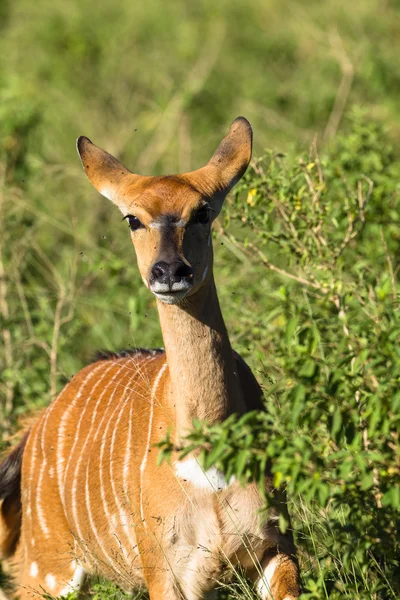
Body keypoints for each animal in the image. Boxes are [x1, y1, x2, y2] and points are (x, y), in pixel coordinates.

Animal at [0, 117, 300, 600]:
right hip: (47, 568)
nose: (169, 271)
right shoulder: (167, 570)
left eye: (202, 212)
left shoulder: (276, 546)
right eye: (133, 219)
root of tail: (36, 428)